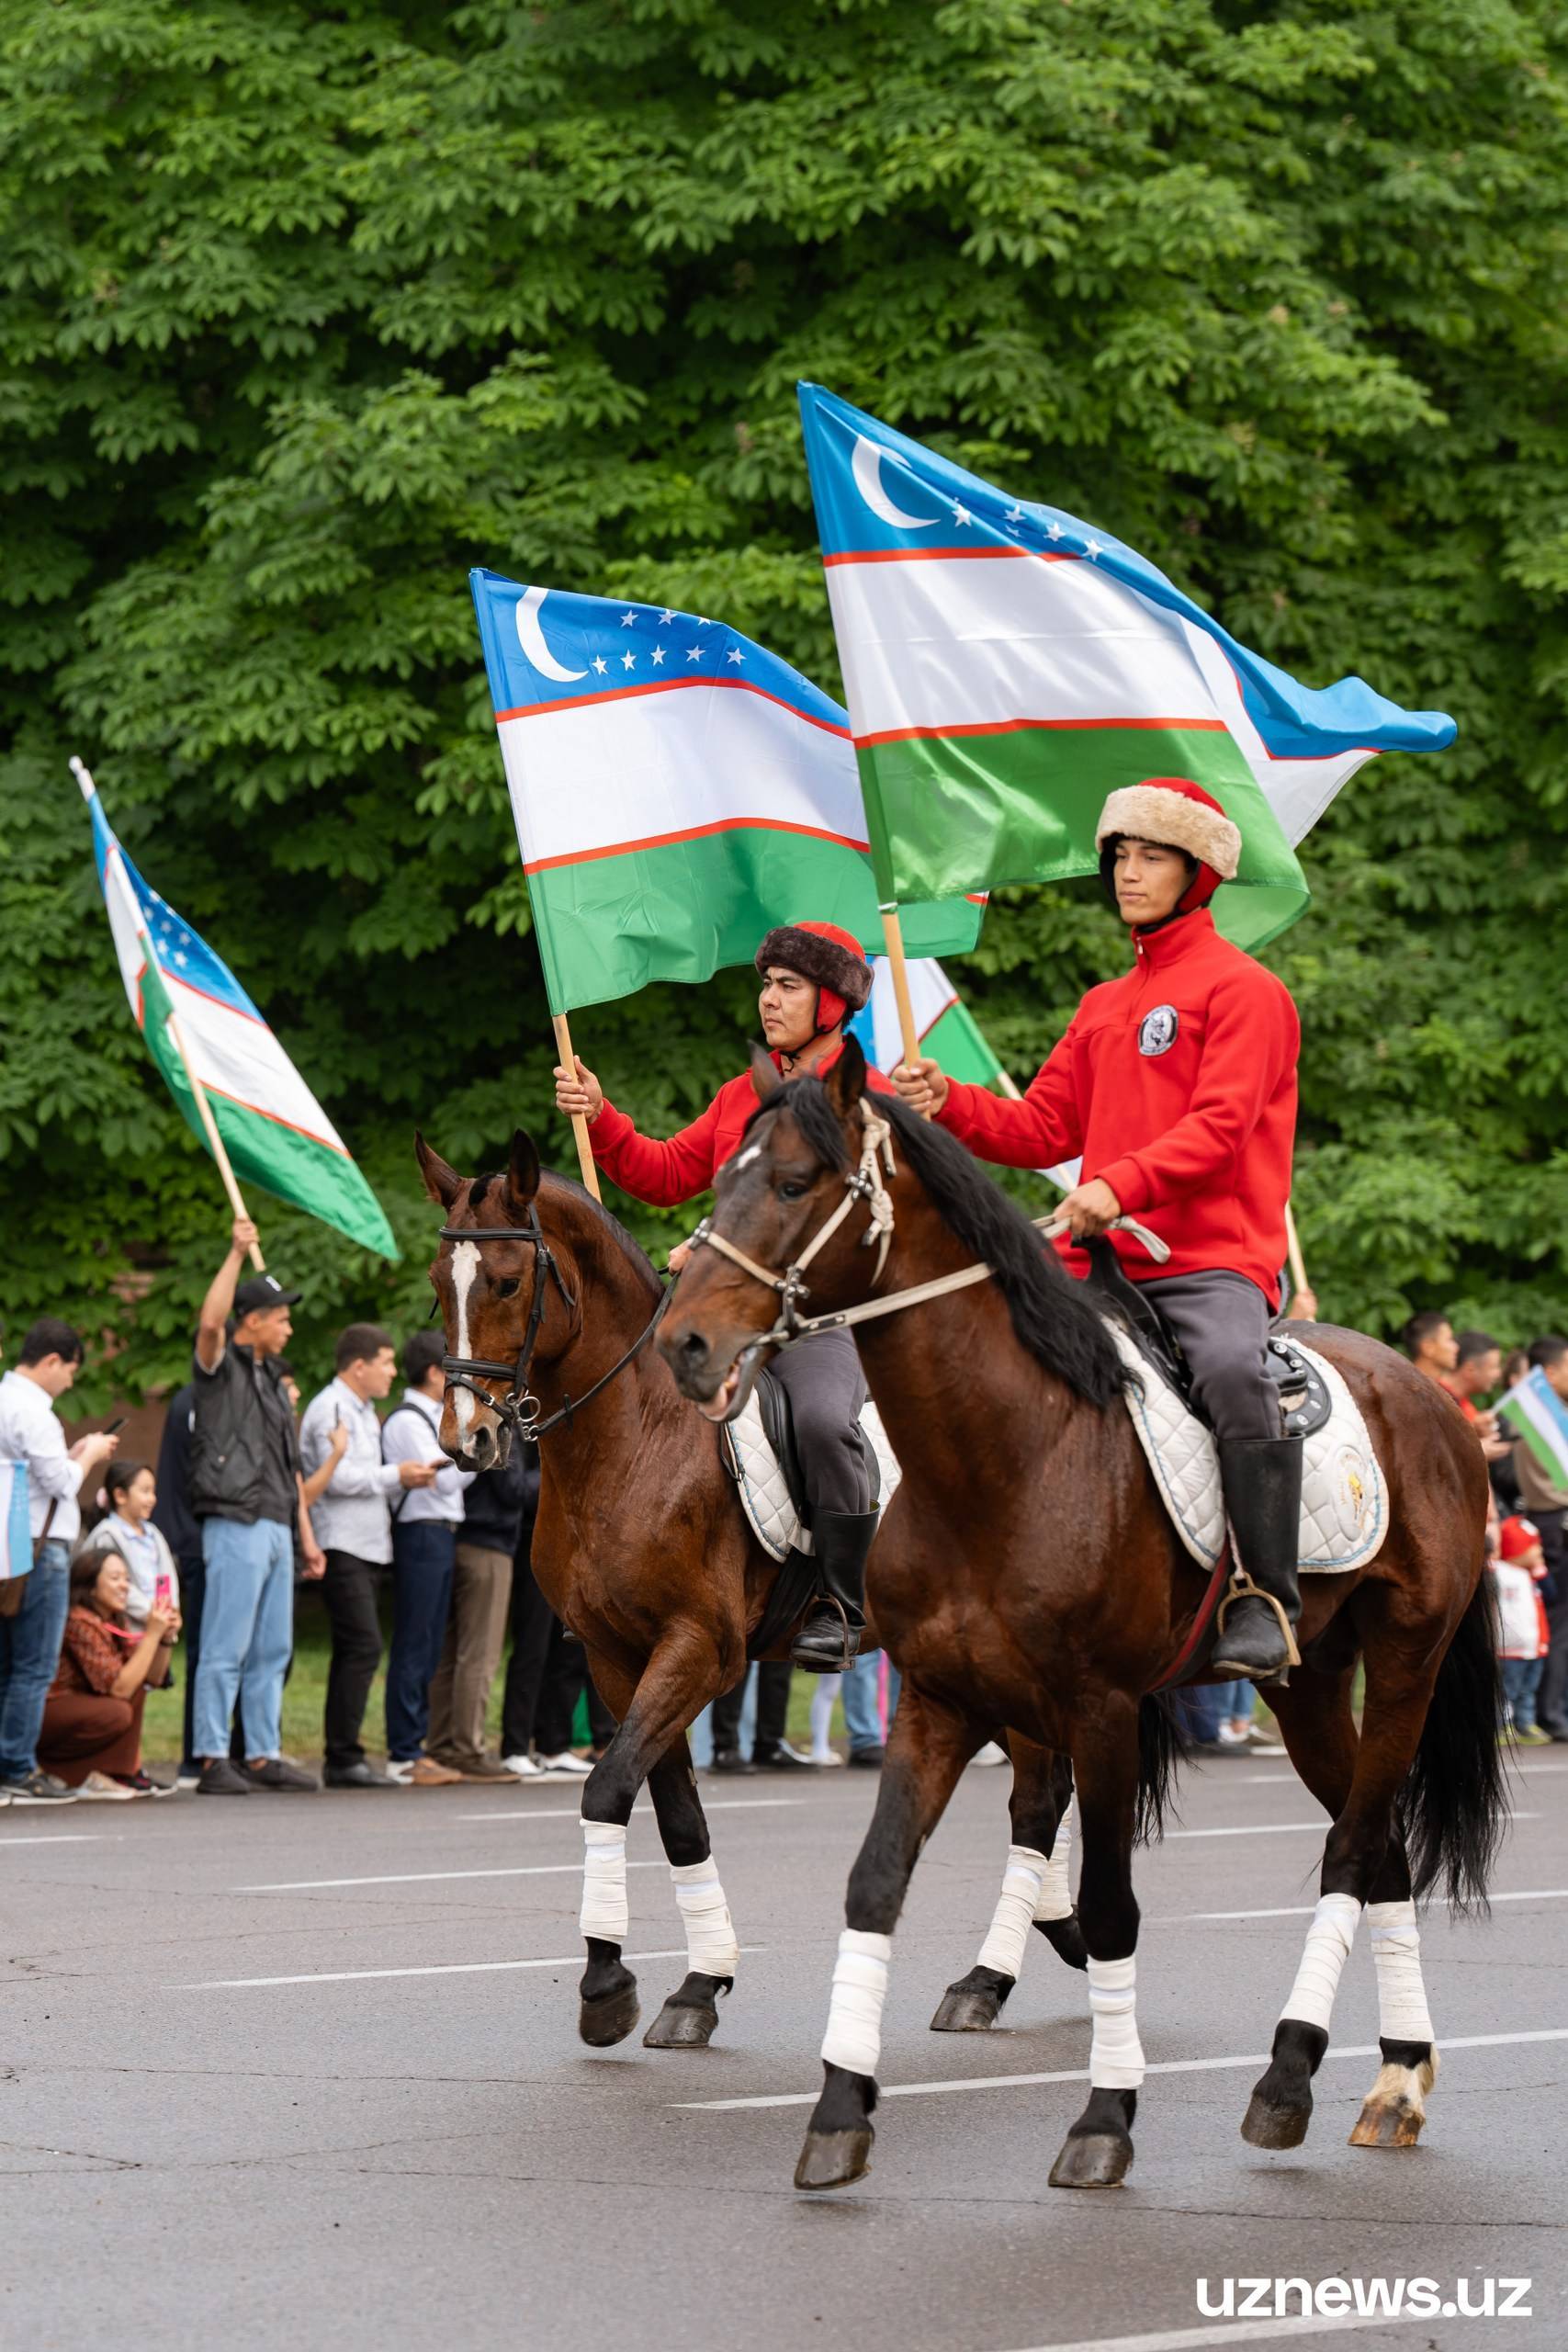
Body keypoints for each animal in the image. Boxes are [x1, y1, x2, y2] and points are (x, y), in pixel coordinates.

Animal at [658, 1048, 1504, 2182]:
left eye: (793, 1184)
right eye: (720, 1180)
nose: (685, 1342)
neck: (1004, 1455)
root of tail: (1436, 1403)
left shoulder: (1100, 1712)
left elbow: (1107, 1908)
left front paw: (1104, 2115)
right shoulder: (936, 1701)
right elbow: (876, 1883)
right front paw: (839, 2110)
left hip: (1407, 1659)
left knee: (1356, 1848)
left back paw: (1291, 2078)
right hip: (1310, 1684)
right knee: (1383, 1855)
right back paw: (1394, 2076)